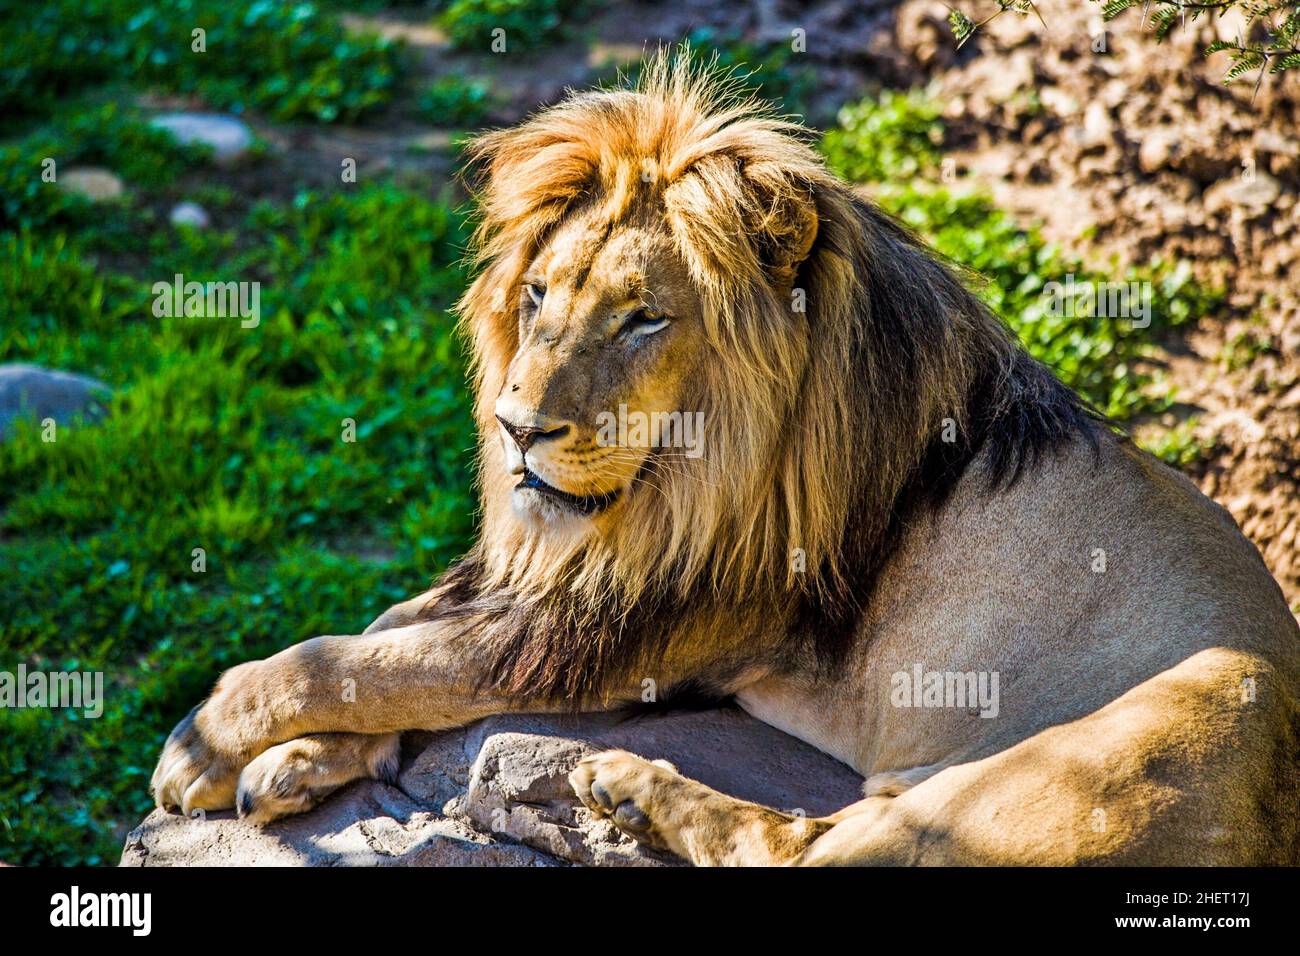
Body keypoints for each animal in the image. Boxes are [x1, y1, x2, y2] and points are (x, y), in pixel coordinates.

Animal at [152, 53, 1300, 865]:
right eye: (538, 294)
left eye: (644, 319)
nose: (516, 427)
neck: (679, 484)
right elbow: (393, 636)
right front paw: (291, 765)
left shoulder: (648, 622)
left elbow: (364, 659)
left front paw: (204, 741)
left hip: (1018, 795)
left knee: (794, 849)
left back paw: (627, 786)